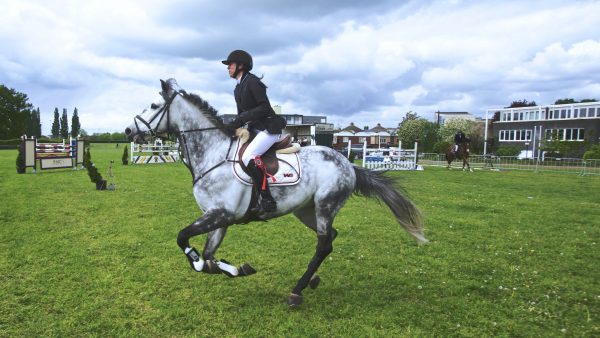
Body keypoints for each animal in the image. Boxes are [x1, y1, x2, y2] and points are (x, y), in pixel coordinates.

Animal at [125, 78, 426, 306]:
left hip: (325, 205)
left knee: (323, 243)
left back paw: (297, 290)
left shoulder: (220, 214)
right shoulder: (219, 218)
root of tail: (348, 164)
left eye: (154, 106)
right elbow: (208, 257)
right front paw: (236, 268)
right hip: (306, 210)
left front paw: (214, 263)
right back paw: (311, 280)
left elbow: (184, 239)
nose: (129, 130)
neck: (212, 154)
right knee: (329, 238)